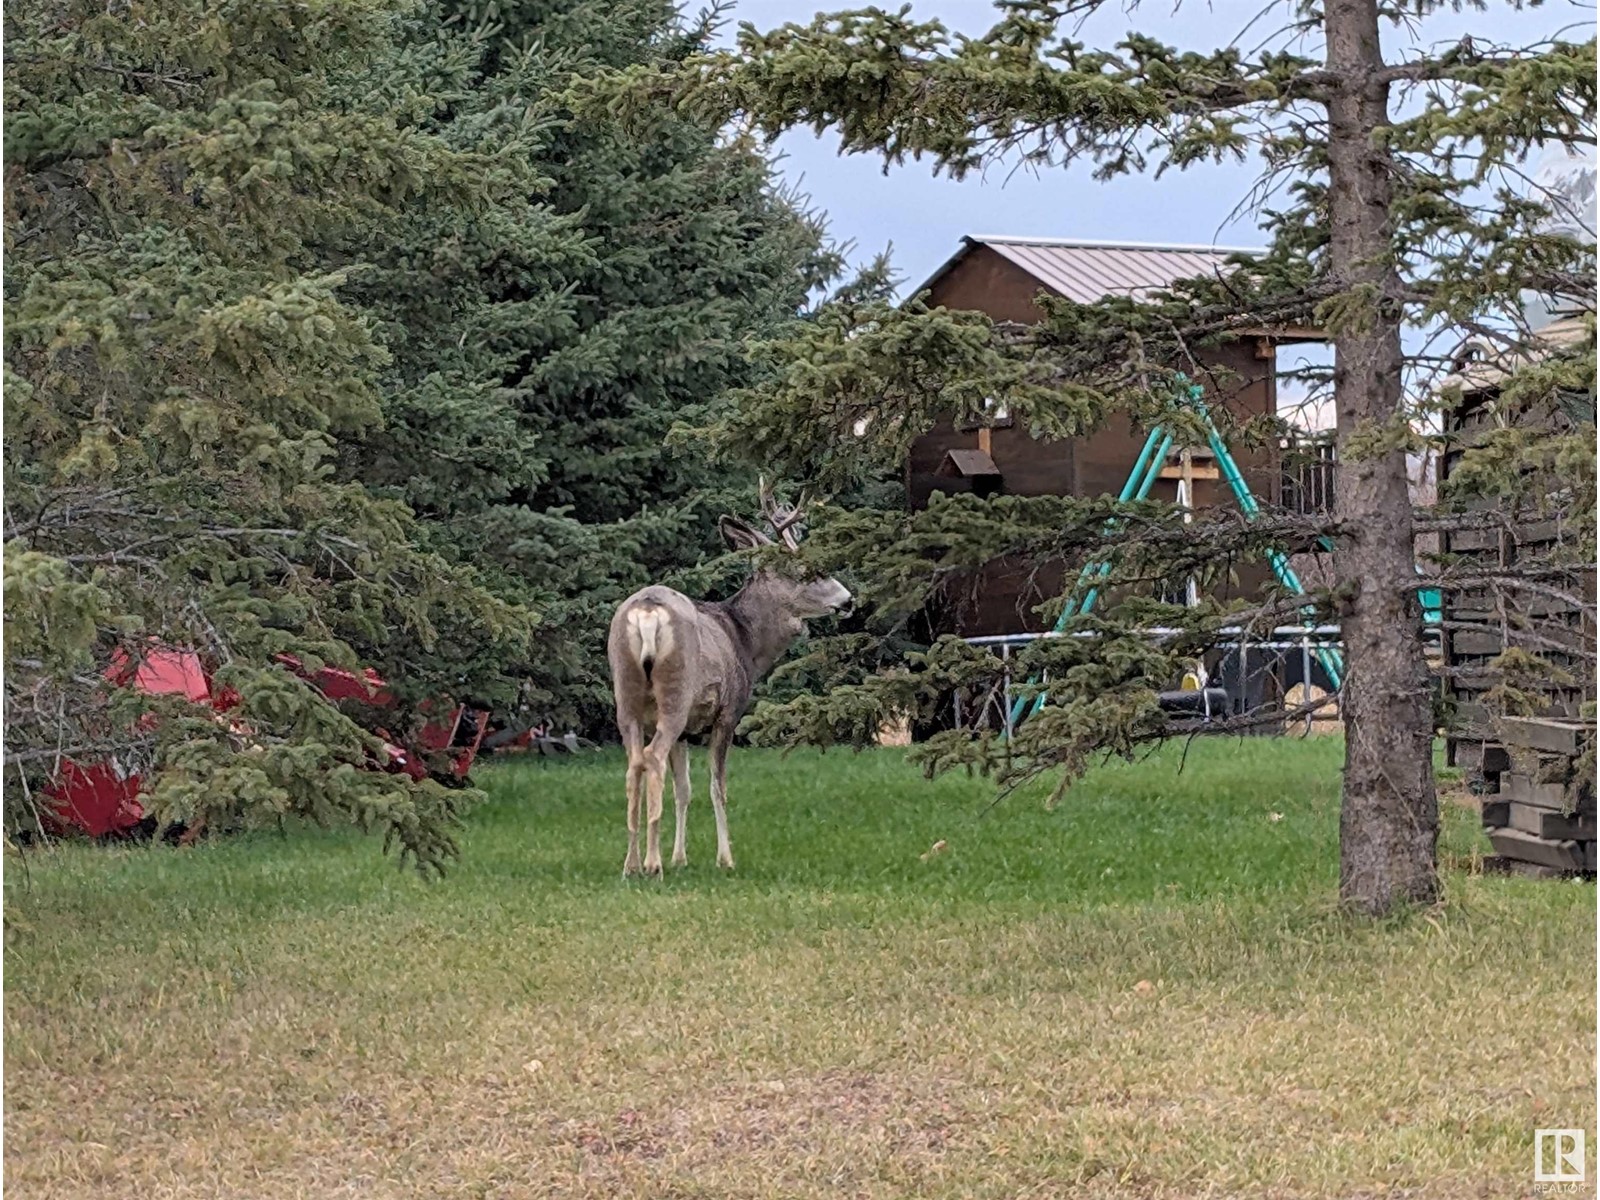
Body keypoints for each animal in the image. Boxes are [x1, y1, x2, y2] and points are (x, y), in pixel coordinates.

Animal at [604, 483, 851, 883]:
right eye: (807, 571)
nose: (848, 600)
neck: (745, 642)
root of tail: (647, 611)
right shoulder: (728, 713)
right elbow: (717, 787)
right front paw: (724, 858)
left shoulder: (688, 730)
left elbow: (684, 789)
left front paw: (680, 857)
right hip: (675, 693)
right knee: (652, 758)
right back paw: (652, 864)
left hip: (626, 696)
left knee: (634, 765)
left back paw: (631, 863)